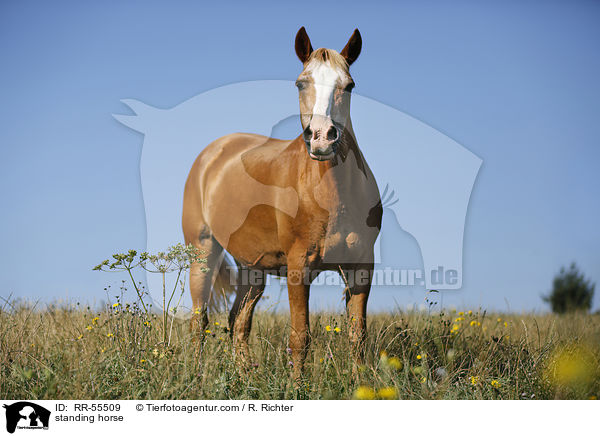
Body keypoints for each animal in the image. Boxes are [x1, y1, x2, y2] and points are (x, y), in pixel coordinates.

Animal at [180, 27, 382, 378]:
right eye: (301, 83)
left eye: (349, 85)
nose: (322, 138)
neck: (334, 196)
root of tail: (213, 154)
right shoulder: (299, 268)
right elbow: (300, 336)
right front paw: (297, 386)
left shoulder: (361, 267)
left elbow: (358, 335)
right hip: (202, 253)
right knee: (199, 321)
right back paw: (196, 376)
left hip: (252, 269)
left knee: (238, 322)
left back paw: (244, 377)